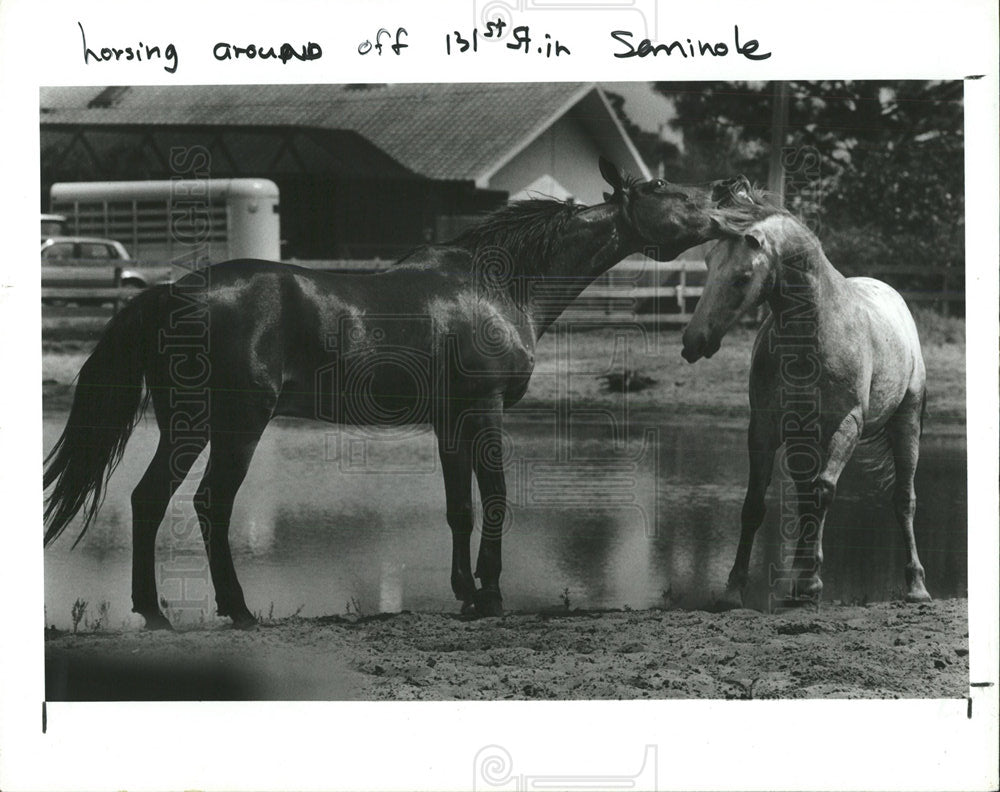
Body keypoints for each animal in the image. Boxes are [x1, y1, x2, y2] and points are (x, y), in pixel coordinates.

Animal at [47, 158, 748, 628]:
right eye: (660, 188)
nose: (731, 189)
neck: (500, 286)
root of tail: (171, 293)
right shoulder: (485, 410)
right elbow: (495, 498)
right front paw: (492, 597)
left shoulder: (449, 420)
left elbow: (459, 508)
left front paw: (466, 592)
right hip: (232, 426)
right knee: (208, 505)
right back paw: (236, 610)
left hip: (185, 425)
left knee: (147, 501)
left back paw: (155, 612)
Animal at [680, 196, 928, 608]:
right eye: (709, 264)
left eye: (742, 277)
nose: (693, 342)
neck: (813, 335)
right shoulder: (765, 427)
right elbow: (755, 504)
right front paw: (734, 589)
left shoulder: (848, 423)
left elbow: (824, 490)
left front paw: (811, 582)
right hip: (803, 440)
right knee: (804, 495)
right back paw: (798, 579)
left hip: (905, 424)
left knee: (903, 499)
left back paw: (916, 586)